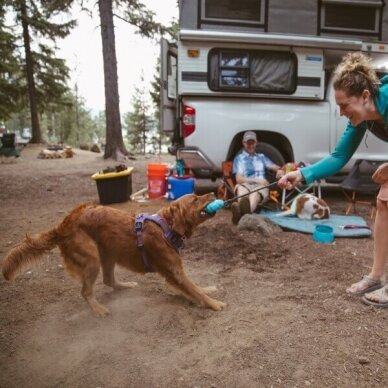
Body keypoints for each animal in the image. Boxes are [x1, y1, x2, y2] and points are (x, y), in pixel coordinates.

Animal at [1, 192, 224, 316]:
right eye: (195, 199)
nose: (213, 192)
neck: (166, 226)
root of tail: (63, 225)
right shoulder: (174, 273)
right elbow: (195, 291)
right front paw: (214, 303)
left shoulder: (176, 272)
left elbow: (196, 287)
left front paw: (208, 289)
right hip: (92, 259)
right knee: (86, 291)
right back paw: (98, 310)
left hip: (108, 254)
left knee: (108, 280)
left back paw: (126, 286)